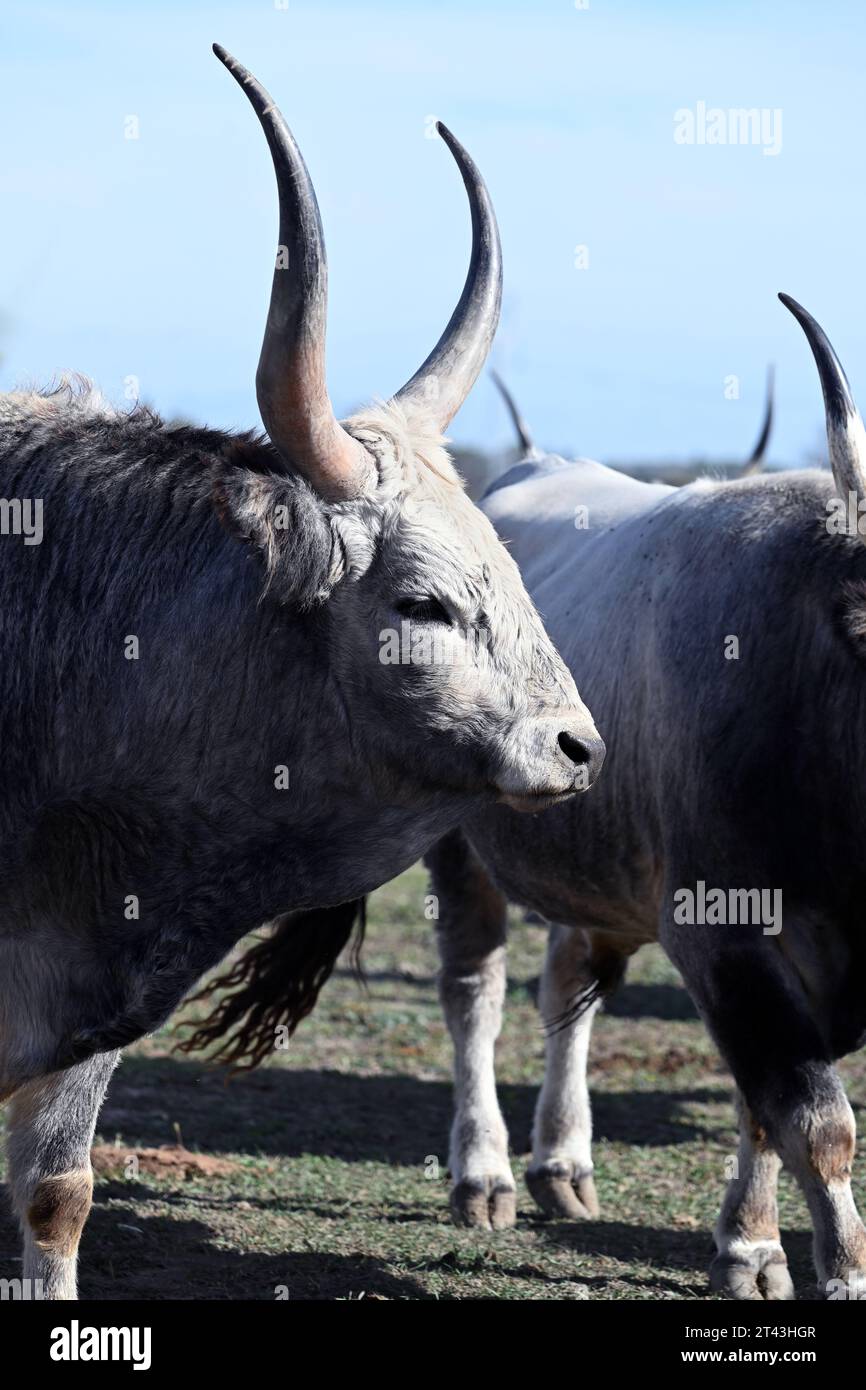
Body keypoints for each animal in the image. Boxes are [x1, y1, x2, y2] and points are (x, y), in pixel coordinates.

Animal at [417, 296, 866, 1301]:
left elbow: (762, 1107)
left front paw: (750, 1240)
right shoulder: (724, 935)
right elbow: (813, 1118)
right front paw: (810, 1263)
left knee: (568, 991)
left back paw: (562, 1164)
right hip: (462, 852)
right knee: (475, 993)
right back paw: (484, 1173)